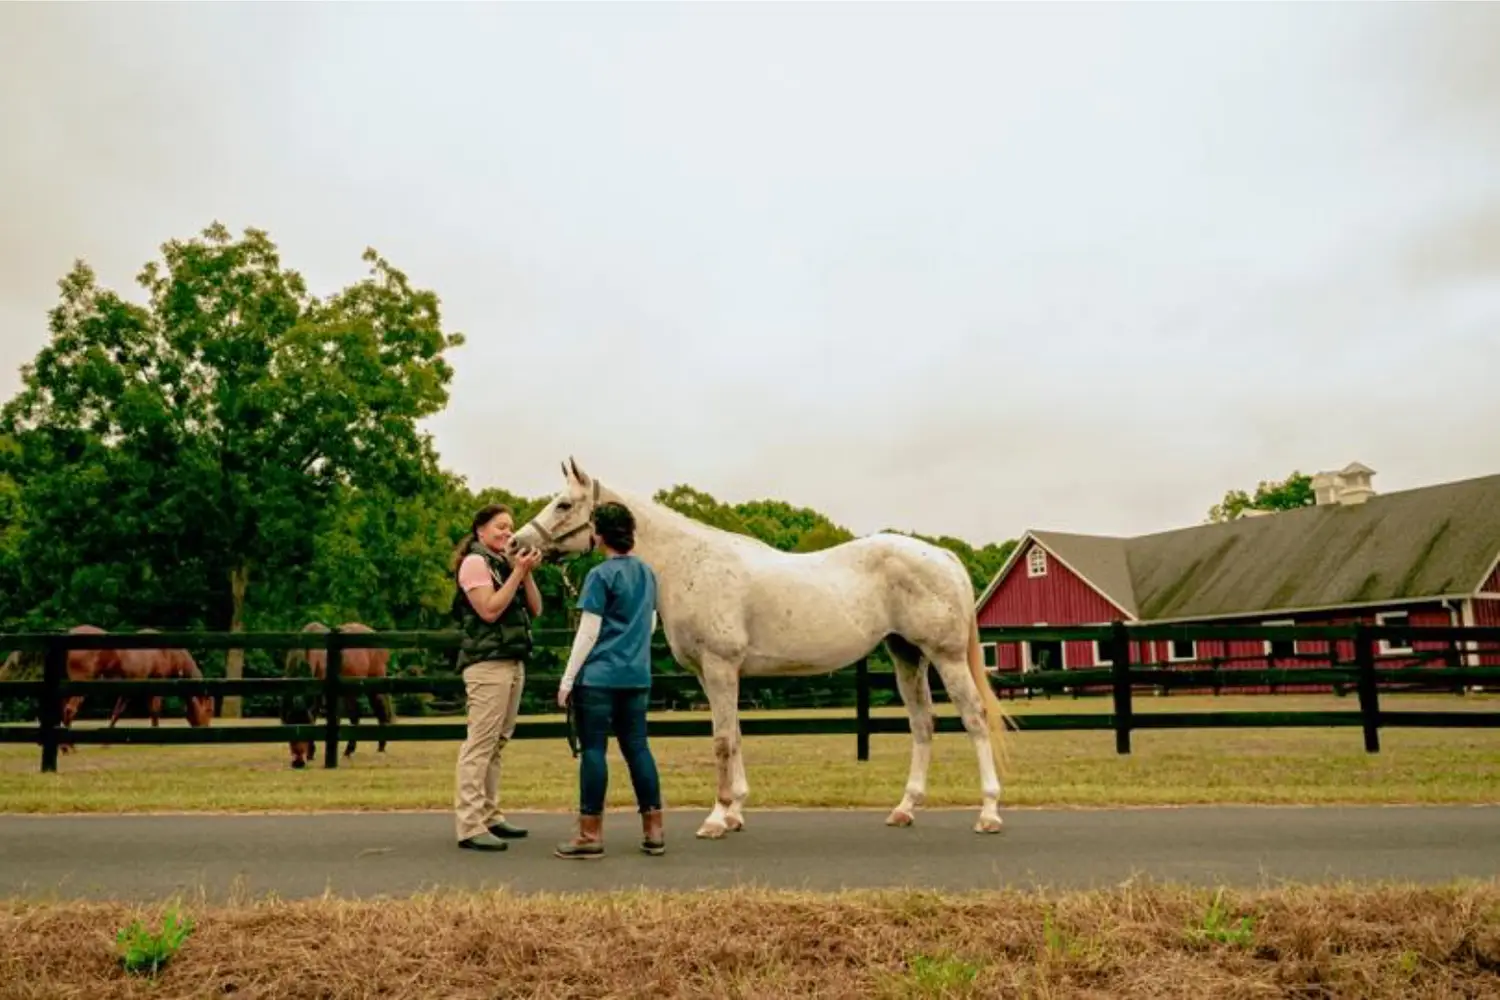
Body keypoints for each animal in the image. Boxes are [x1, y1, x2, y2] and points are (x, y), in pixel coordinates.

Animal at [280, 621, 394, 768]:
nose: (298, 763)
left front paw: (311, 752)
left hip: (374, 683)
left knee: (380, 711)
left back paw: (381, 747)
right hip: (350, 691)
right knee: (355, 716)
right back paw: (349, 750)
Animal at [509, 457, 1012, 839]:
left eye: (563, 504)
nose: (517, 544)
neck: (690, 563)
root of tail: (942, 556)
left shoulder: (720, 668)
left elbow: (721, 740)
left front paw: (716, 817)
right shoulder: (713, 675)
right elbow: (734, 735)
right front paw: (735, 812)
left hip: (945, 657)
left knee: (972, 718)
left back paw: (988, 811)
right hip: (906, 655)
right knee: (923, 724)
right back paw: (905, 808)